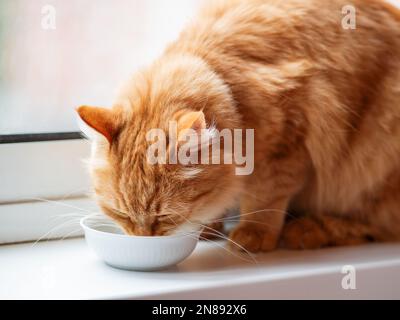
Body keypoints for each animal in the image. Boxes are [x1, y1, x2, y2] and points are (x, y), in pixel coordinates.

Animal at [76, 0, 400, 252]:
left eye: (164, 218)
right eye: (121, 215)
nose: (142, 239)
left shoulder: (287, 143)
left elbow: (265, 195)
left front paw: (253, 233)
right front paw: (210, 225)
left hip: (374, 158)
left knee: (376, 226)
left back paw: (308, 231)